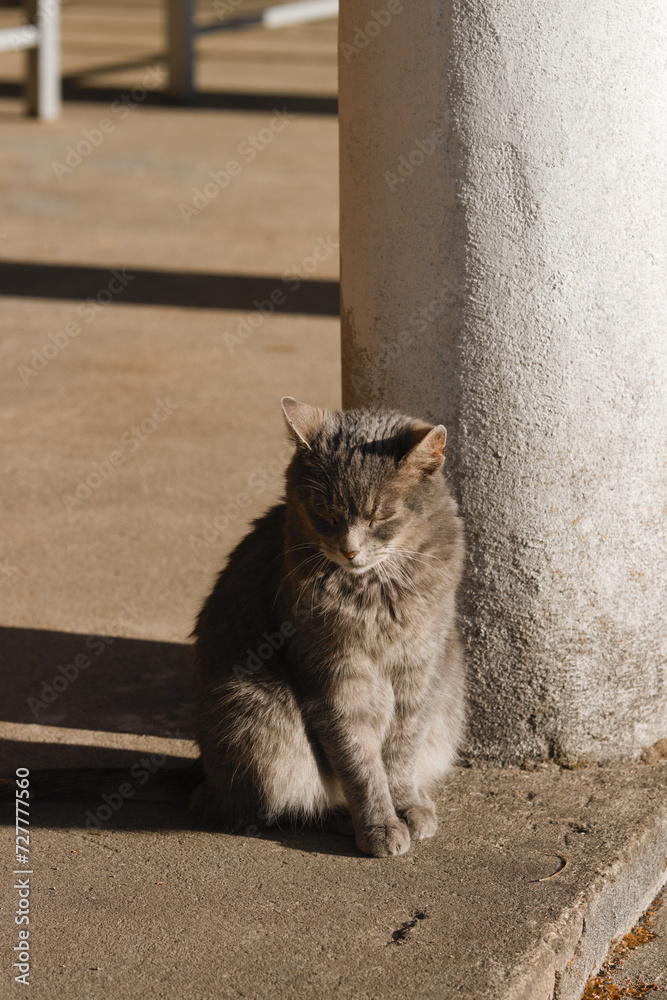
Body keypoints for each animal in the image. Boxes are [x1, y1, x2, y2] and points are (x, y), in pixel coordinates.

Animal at [190, 398, 468, 860]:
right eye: (324, 514)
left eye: (381, 516)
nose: (349, 550)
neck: (376, 592)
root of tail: (205, 783)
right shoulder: (336, 676)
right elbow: (358, 759)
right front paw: (379, 825)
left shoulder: (419, 669)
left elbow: (402, 748)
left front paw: (407, 804)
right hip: (256, 719)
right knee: (277, 807)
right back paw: (339, 816)